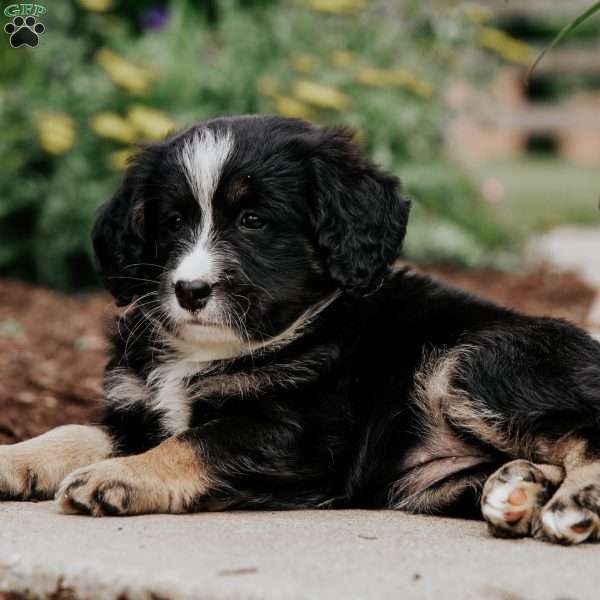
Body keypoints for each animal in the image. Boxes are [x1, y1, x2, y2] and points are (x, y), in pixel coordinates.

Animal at [3, 115, 600, 548]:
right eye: (171, 222)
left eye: (253, 220)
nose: (189, 291)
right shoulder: (139, 413)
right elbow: (76, 431)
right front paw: (14, 459)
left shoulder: (299, 434)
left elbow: (195, 442)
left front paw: (118, 477)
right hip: (431, 479)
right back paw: (518, 491)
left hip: (473, 360)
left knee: (585, 433)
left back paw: (573, 504)